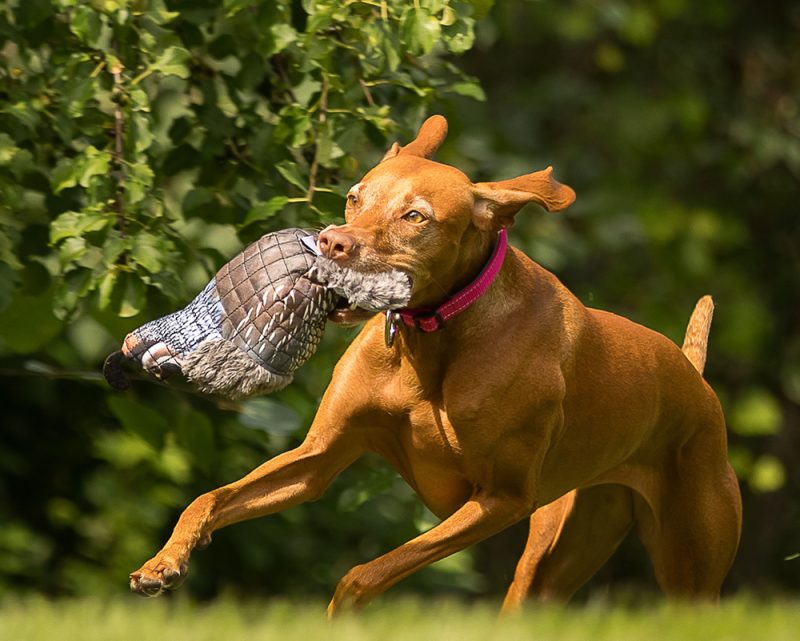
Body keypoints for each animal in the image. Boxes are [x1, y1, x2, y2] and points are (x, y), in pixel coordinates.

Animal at [131, 114, 744, 608]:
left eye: (415, 217)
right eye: (354, 197)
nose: (329, 242)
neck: (431, 340)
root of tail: (693, 376)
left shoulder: (501, 499)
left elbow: (364, 573)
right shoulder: (319, 459)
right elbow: (208, 498)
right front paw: (164, 562)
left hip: (689, 567)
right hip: (553, 555)